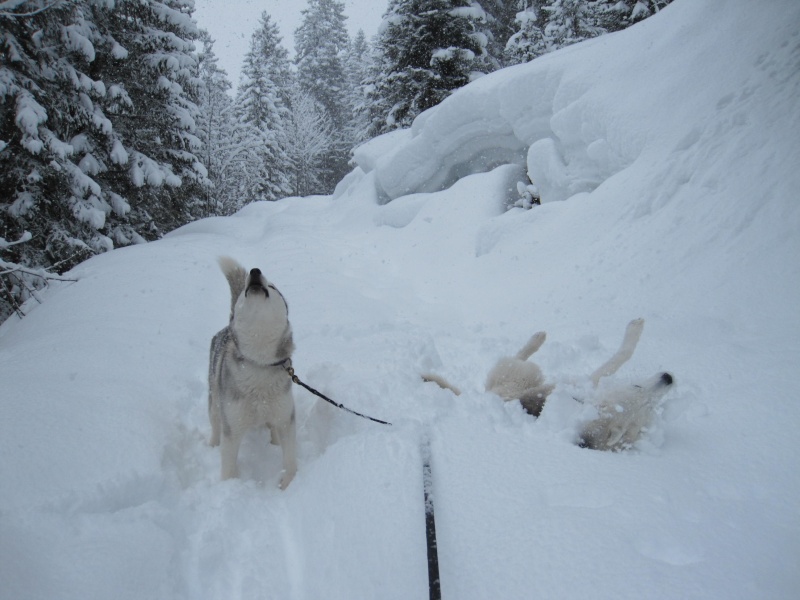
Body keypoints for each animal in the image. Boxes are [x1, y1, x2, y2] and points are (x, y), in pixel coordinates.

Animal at [209, 256, 296, 488]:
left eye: (272, 287)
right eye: (243, 293)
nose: (255, 272)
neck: (260, 362)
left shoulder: (285, 419)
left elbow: (290, 459)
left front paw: (288, 485)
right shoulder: (232, 426)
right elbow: (229, 467)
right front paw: (229, 487)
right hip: (214, 400)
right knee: (214, 423)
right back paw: (211, 445)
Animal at [422, 318, 672, 450]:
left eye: (650, 409)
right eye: (637, 387)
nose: (669, 378)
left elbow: (621, 355)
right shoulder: (594, 379)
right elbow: (622, 356)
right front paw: (635, 328)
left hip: (523, 373)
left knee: (519, 356)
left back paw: (537, 338)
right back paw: (539, 337)